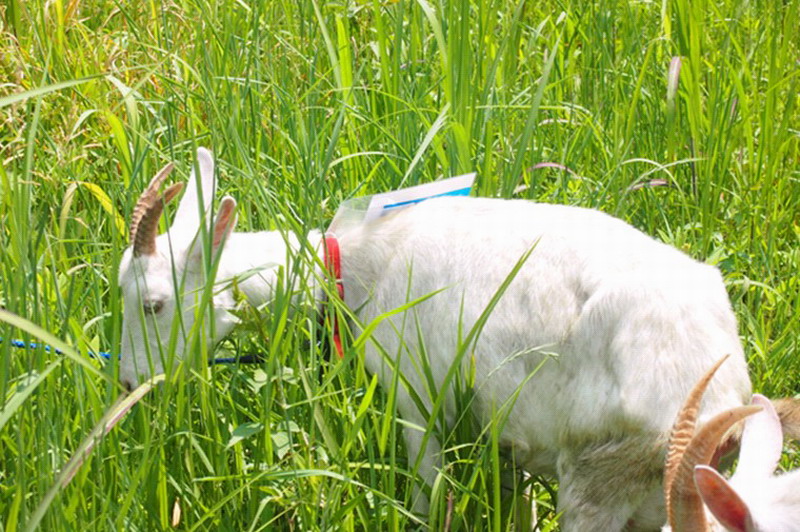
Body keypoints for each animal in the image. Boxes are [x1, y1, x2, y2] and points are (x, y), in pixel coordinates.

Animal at [115, 150, 796, 532]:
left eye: (152, 305)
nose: (126, 382)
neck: (351, 267)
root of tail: (719, 381)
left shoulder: (415, 399)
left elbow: (430, 502)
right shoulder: (507, 435)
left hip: (602, 472)